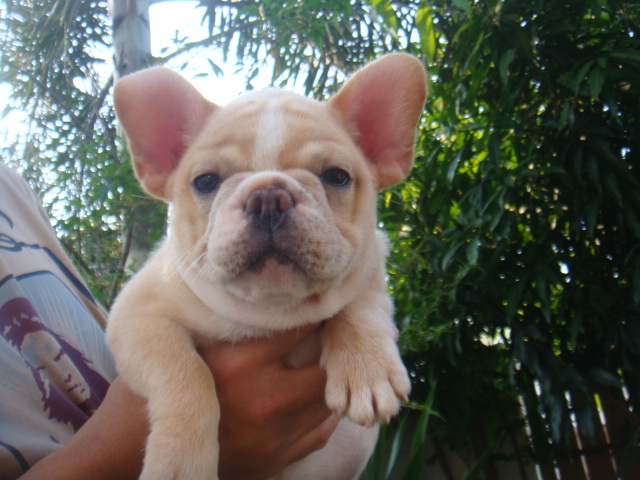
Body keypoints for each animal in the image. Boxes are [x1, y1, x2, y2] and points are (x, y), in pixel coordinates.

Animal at [106, 53, 427, 480]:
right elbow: (185, 374)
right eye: (206, 181)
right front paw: (181, 461)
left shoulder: (373, 259)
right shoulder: (138, 316)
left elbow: (361, 303)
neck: (270, 314)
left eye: (336, 177)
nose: (269, 197)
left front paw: (367, 368)